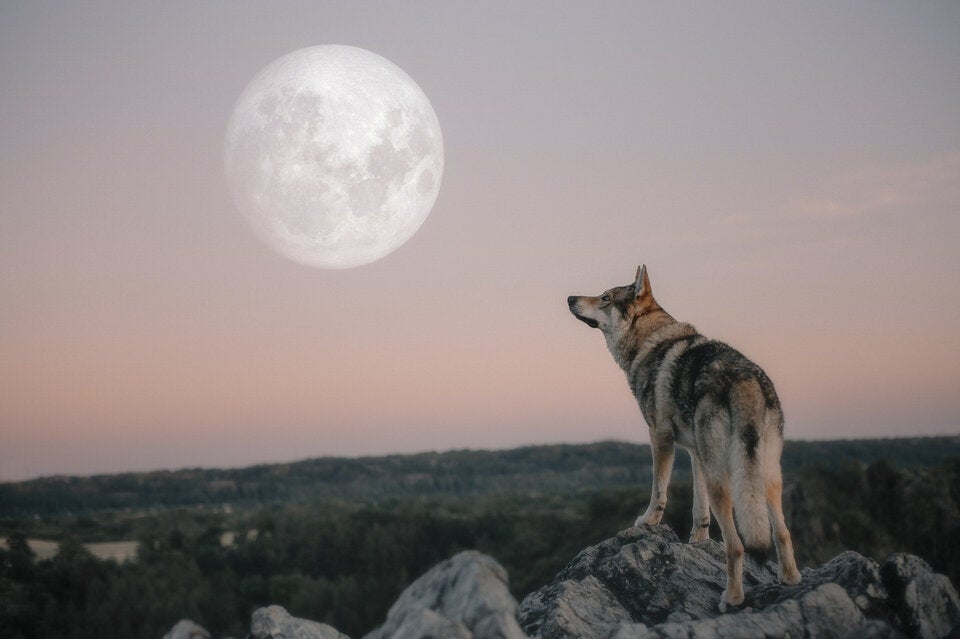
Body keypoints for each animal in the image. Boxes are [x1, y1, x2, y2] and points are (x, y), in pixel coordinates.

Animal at [567, 265, 801, 610]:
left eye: (606, 297)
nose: (570, 298)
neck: (648, 343)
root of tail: (744, 379)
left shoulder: (659, 437)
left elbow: (659, 491)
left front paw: (648, 521)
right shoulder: (694, 452)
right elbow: (698, 508)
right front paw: (698, 540)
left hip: (725, 482)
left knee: (736, 546)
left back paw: (732, 598)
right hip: (768, 477)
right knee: (782, 533)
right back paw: (790, 579)